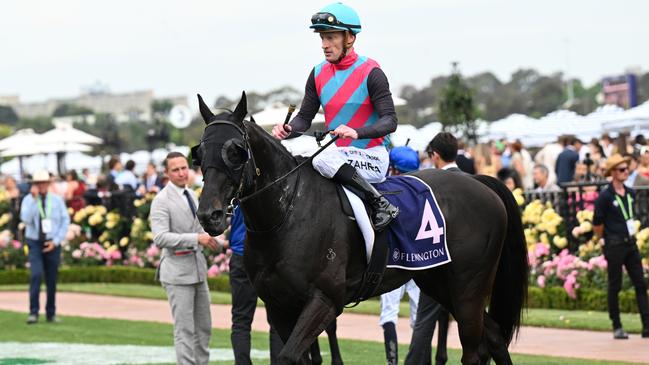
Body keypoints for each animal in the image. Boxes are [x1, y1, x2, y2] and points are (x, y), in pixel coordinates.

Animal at [196, 92, 528, 362]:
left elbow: (289, 355)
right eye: (199, 152)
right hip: (437, 281)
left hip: (468, 286)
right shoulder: (278, 305)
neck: (286, 213)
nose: (209, 215)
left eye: (236, 151)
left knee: (473, 349)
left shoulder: (325, 300)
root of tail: (479, 181)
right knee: (494, 334)